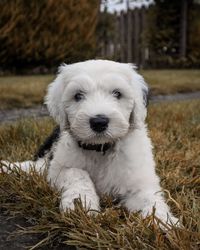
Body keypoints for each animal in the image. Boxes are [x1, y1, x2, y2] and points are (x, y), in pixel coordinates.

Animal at [4, 60, 178, 225]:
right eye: (78, 95)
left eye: (117, 93)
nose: (99, 122)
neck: (100, 148)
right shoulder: (58, 168)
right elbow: (78, 173)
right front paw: (81, 204)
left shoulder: (138, 177)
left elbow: (150, 198)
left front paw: (163, 222)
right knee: (37, 166)